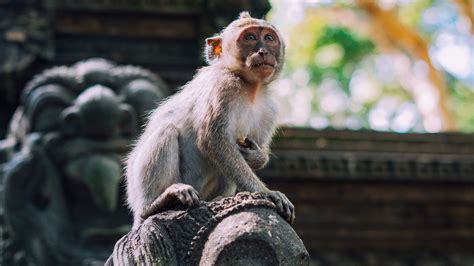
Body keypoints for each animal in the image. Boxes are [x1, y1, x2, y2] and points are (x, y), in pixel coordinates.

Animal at [128, 11, 294, 229]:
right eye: (250, 37)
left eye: (268, 38)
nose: (263, 51)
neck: (250, 87)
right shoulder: (222, 87)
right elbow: (213, 140)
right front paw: (266, 193)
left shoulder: (270, 110)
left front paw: (256, 156)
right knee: (167, 131)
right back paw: (158, 202)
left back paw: (218, 200)